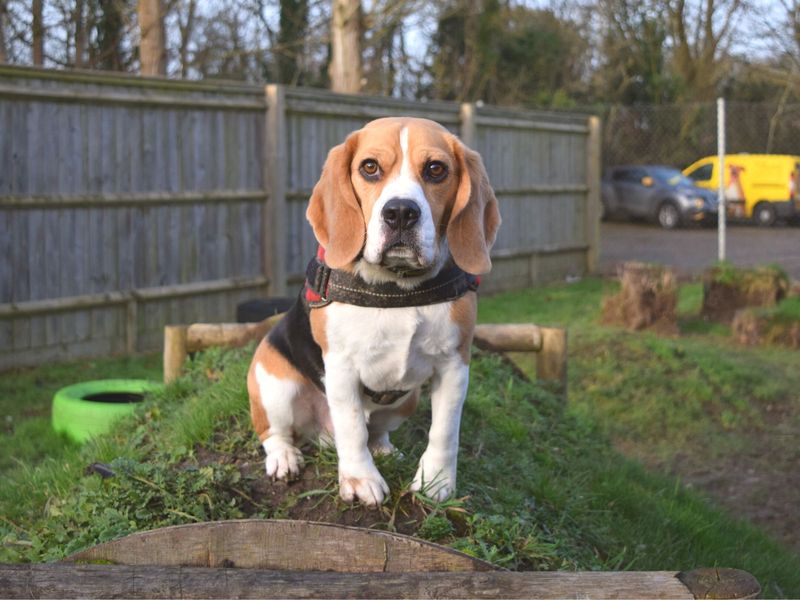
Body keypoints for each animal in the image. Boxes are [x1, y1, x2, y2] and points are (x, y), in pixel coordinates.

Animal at [248, 116, 500, 506]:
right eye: (369, 167)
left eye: (436, 169)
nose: (401, 213)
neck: (396, 287)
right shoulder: (340, 368)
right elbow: (351, 427)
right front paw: (359, 480)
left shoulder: (455, 365)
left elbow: (445, 431)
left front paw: (437, 481)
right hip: (275, 386)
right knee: (276, 433)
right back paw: (285, 457)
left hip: (406, 401)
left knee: (375, 431)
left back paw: (383, 448)